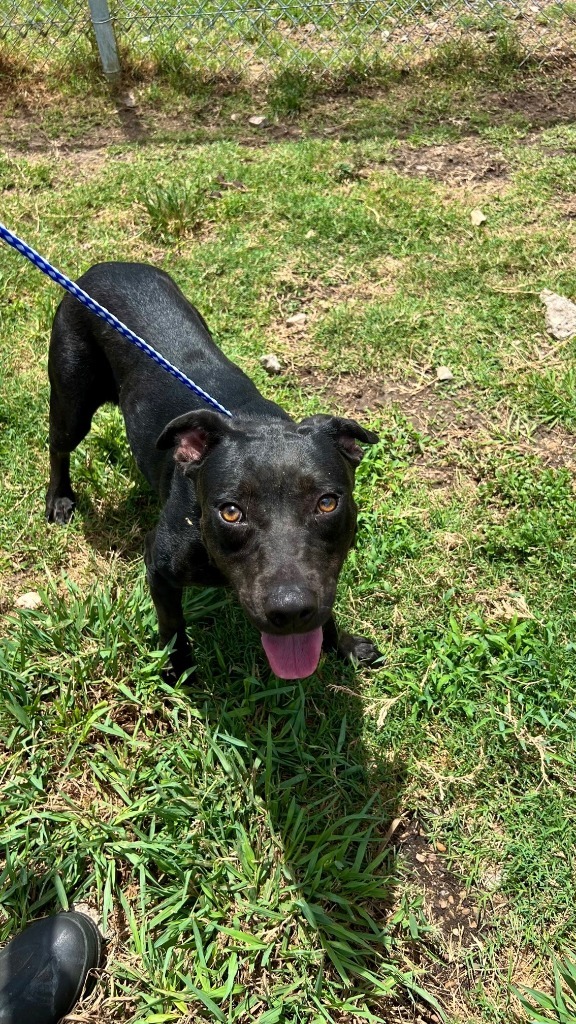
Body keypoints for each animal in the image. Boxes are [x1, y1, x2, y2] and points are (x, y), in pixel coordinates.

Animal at [45, 264, 381, 679]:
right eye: (231, 512)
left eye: (327, 503)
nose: (290, 610)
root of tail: (106, 266)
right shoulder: (159, 566)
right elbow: (172, 623)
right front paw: (177, 668)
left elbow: (325, 611)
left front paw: (344, 645)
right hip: (72, 400)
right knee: (58, 445)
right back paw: (59, 499)